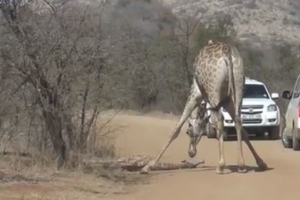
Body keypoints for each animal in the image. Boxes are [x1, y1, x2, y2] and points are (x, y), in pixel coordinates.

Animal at [140, 41, 268, 175]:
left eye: (188, 132)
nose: (191, 153)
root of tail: (227, 53)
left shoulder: (196, 92)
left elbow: (176, 129)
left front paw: (147, 167)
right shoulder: (227, 101)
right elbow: (242, 130)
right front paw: (261, 163)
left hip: (214, 92)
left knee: (220, 121)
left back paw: (220, 166)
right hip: (238, 88)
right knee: (238, 120)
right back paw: (241, 165)